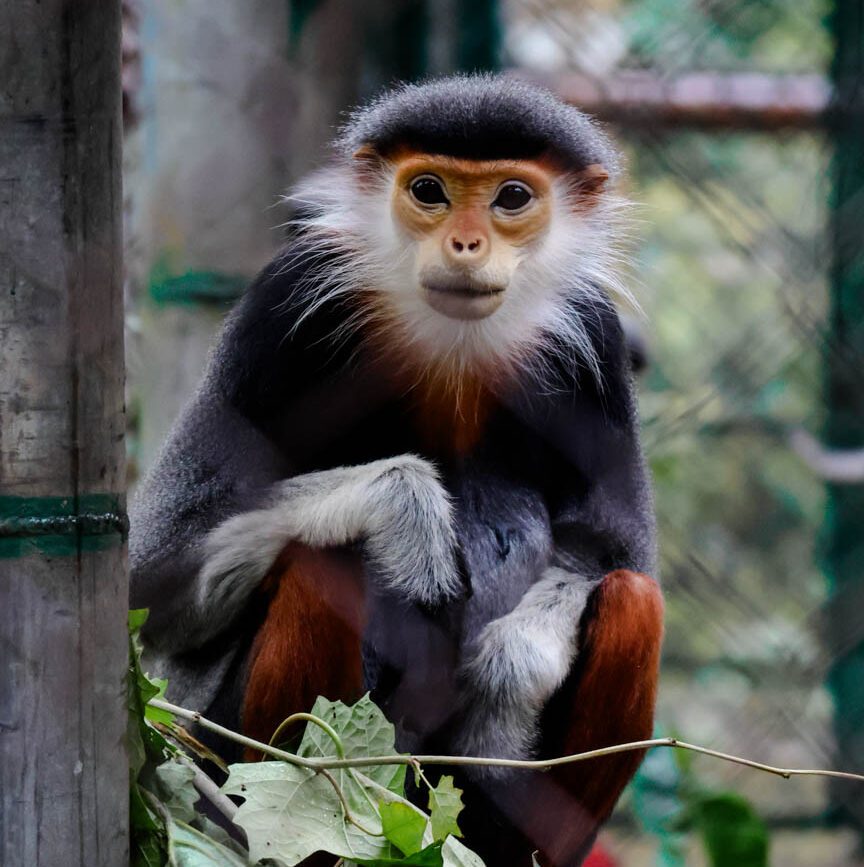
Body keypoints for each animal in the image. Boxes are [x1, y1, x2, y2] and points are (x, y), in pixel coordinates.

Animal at [129, 74, 663, 866]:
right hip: (212, 751)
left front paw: (513, 670)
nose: (465, 243)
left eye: (511, 198)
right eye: (430, 190)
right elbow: (156, 575)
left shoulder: (596, 340)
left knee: (633, 597)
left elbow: (611, 552)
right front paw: (405, 504)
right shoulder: (281, 310)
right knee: (327, 554)